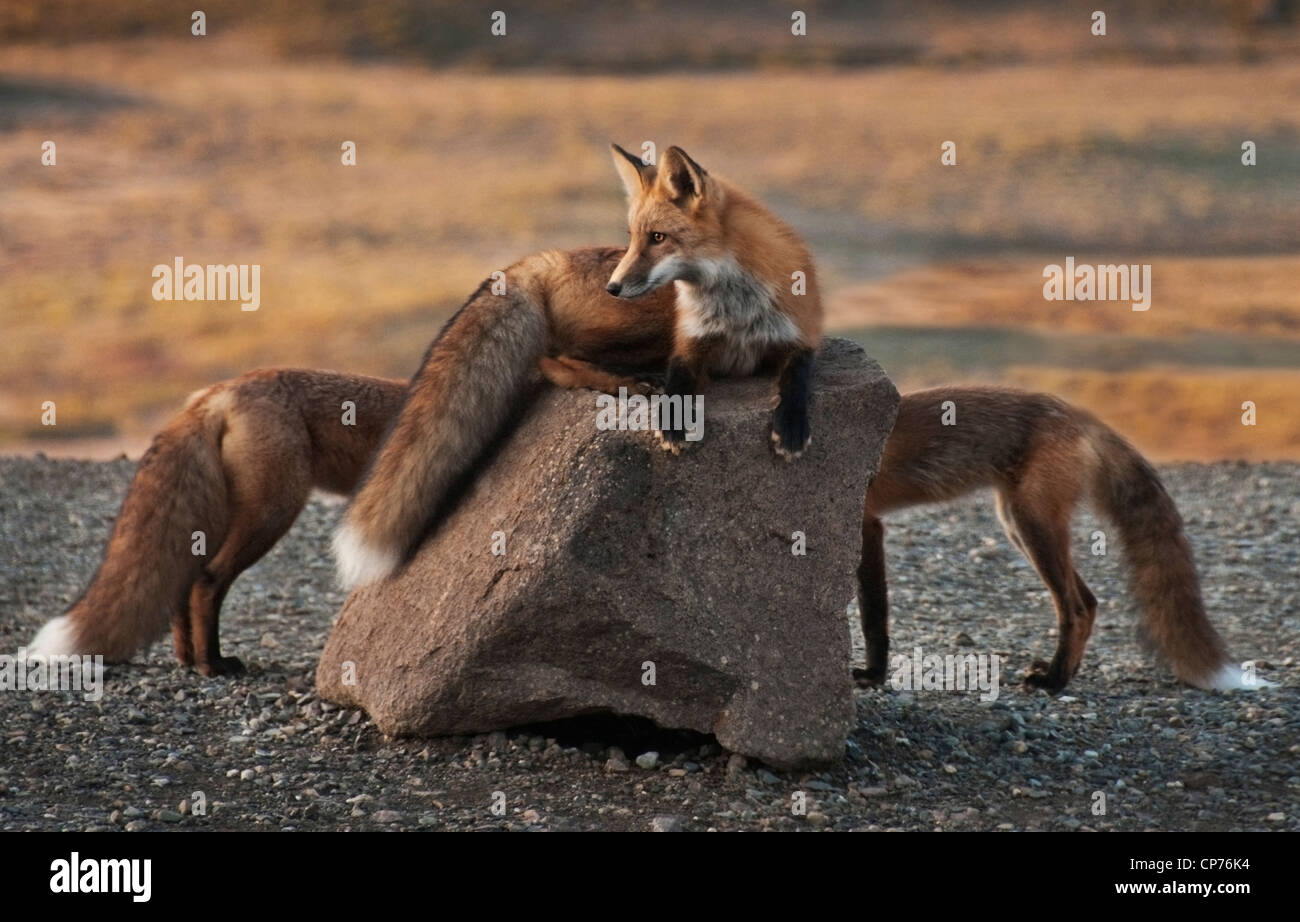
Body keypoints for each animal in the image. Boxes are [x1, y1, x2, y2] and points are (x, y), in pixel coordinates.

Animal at [335, 146, 821, 585]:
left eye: (658, 238)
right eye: (634, 237)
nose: (615, 287)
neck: (734, 309)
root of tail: (547, 258)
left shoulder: (802, 333)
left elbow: (799, 375)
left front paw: (791, 428)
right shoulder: (687, 342)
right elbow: (680, 380)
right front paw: (673, 421)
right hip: (648, 322)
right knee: (554, 360)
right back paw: (629, 383)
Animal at [852, 384, 1268, 691]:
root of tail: (1078, 413)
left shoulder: (868, 526)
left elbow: (873, 616)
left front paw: (873, 675)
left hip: (1033, 526)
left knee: (1076, 608)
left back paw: (1054, 681)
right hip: (1018, 526)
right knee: (1091, 601)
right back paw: (1067, 672)